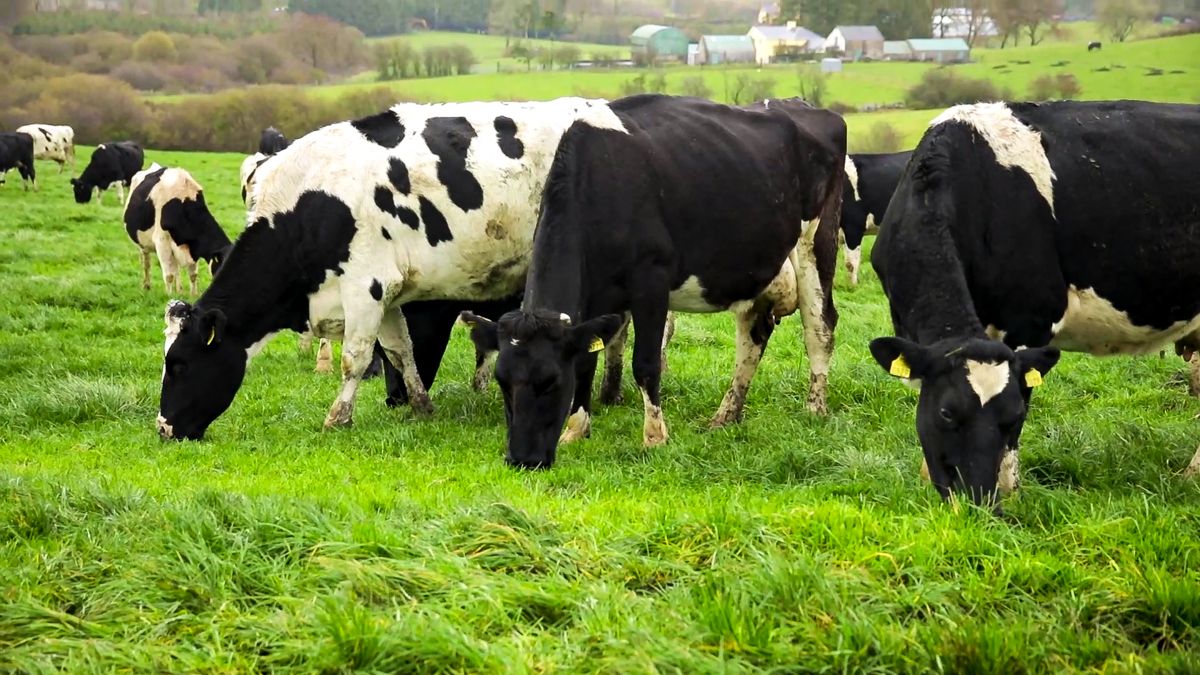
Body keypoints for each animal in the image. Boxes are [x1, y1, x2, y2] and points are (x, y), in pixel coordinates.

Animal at [124, 165, 232, 296]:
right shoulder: (162, 242)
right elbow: (169, 275)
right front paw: (169, 296)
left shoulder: (194, 246)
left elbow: (193, 275)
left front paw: (193, 295)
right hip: (143, 243)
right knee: (147, 263)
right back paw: (147, 286)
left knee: (176, 268)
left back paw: (179, 289)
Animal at [157, 97, 633, 441]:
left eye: (179, 363)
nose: (163, 429)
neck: (312, 206)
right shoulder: (384, 295)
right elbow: (400, 350)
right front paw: (421, 405)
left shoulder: (363, 287)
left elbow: (354, 358)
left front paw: (337, 418)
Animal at [461, 94, 846, 469]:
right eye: (502, 381)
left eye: (551, 381)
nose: (521, 459)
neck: (600, 179)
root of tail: (800, 105)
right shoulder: (598, 297)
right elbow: (586, 360)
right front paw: (577, 429)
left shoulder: (651, 282)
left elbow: (645, 364)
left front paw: (654, 436)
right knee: (753, 336)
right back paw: (726, 415)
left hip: (816, 242)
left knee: (820, 328)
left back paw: (815, 407)